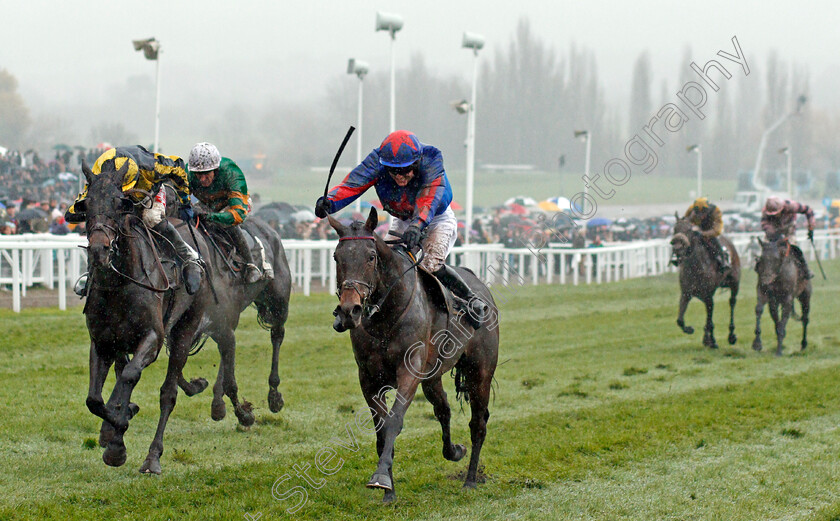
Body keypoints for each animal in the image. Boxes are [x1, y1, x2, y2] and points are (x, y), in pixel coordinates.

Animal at [672, 213, 740, 348]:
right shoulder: (686, 293)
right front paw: (690, 329)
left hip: (735, 283)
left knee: (732, 302)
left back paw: (731, 335)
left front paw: (712, 341)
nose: (677, 248)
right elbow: (680, 320)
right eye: (675, 229)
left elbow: (709, 321)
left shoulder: (708, 296)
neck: (695, 268)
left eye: (689, 230)